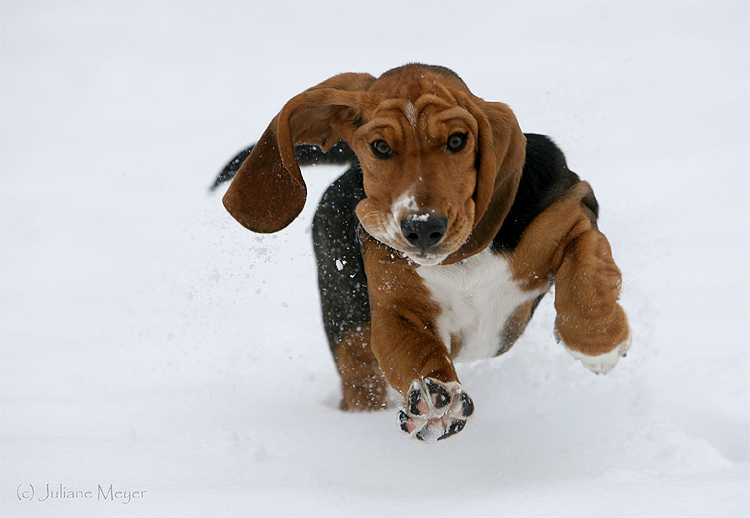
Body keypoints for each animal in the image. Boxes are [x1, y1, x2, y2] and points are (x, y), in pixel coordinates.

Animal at [214, 62, 632, 442]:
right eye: (380, 147)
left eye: (457, 141)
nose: (423, 228)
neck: (463, 256)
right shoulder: (396, 308)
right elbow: (415, 351)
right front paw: (435, 404)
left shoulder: (570, 213)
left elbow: (586, 277)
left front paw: (599, 343)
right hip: (348, 323)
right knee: (358, 374)